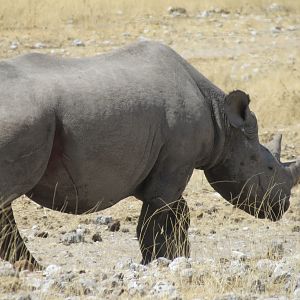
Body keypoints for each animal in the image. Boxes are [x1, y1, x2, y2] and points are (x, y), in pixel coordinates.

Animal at [0, 41, 298, 268]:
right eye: (270, 168)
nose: (282, 207)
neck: (223, 122)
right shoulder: (177, 160)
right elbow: (155, 215)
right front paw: (154, 262)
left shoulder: (168, 164)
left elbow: (177, 211)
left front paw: (177, 257)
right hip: (25, 118)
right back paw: (33, 268)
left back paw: (29, 268)